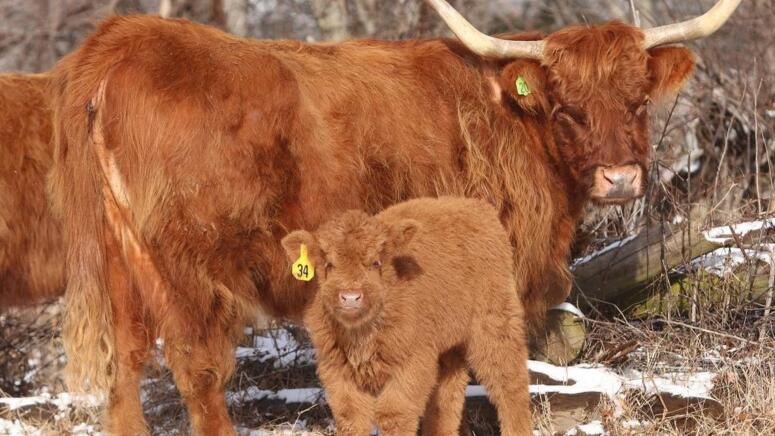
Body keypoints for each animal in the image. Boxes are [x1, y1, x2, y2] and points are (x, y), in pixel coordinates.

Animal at [282, 198, 532, 436]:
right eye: (329, 264)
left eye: (375, 262)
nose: (351, 297)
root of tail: (476, 206)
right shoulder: (336, 370)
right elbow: (350, 418)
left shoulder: (411, 365)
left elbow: (394, 415)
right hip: (449, 348)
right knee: (446, 400)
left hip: (495, 325)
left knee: (510, 386)